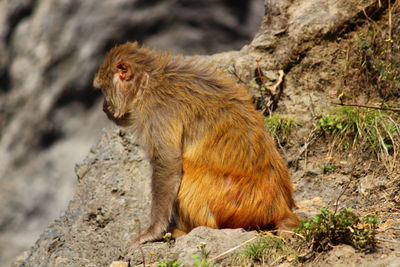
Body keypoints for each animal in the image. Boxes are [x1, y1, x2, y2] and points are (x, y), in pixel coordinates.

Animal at [94, 41, 298, 251]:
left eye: (104, 91)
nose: (104, 107)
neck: (149, 81)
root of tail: (280, 207)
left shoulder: (158, 111)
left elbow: (168, 163)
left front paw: (152, 232)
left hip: (233, 203)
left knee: (187, 169)